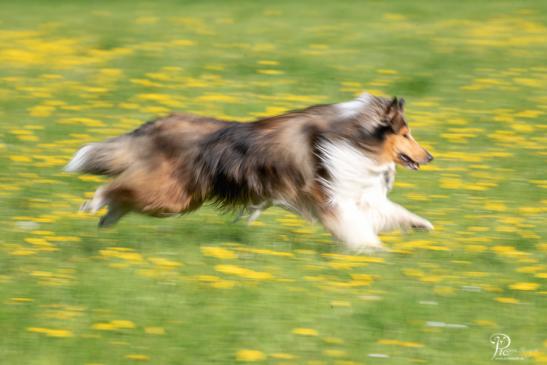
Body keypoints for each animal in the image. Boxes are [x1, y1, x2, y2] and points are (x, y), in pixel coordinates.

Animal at [67, 91, 436, 250]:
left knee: (124, 194)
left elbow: (389, 211)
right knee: (114, 187)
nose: (431, 156)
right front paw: (372, 249)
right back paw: (94, 204)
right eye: (406, 134)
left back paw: (105, 220)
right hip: (170, 194)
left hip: (176, 198)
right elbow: (356, 226)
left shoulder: (355, 193)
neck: (355, 137)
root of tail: (154, 125)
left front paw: (421, 224)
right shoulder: (331, 197)